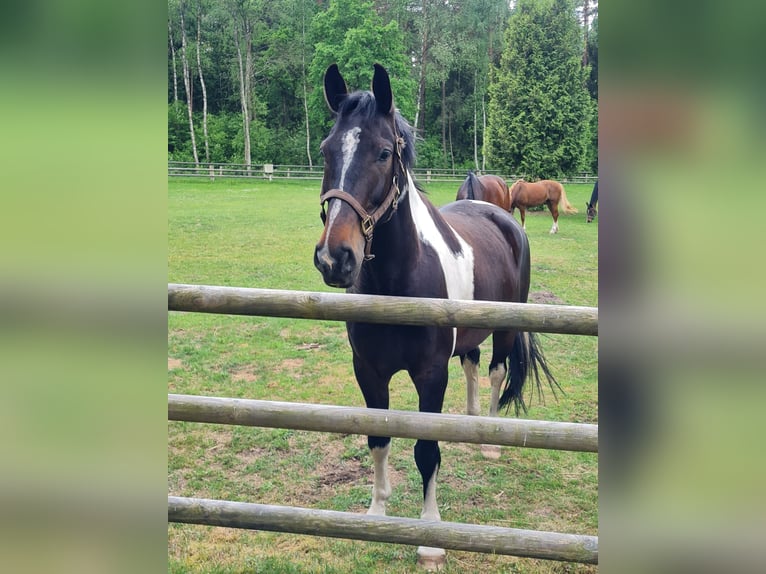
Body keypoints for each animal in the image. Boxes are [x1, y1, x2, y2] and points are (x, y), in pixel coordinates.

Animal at [312, 64, 560, 572]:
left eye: (384, 152)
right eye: (327, 150)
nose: (335, 257)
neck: (398, 281)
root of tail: (499, 213)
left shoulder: (430, 375)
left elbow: (426, 451)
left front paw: (429, 537)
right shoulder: (368, 372)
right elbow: (379, 439)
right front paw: (376, 514)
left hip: (506, 329)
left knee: (496, 371)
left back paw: (489, 438)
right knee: (471, 362)